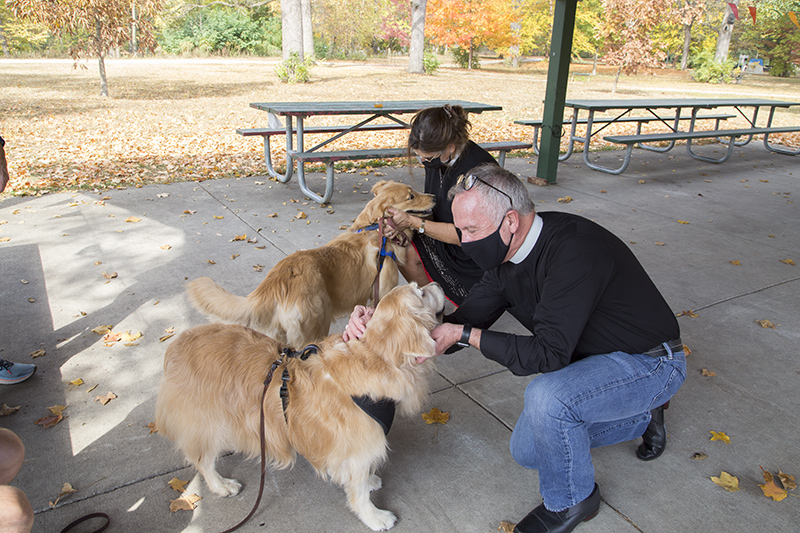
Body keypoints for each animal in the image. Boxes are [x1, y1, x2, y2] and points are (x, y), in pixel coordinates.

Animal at [155, 282, 444, 528]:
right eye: (421, 293)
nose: (438, 284)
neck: (377, 356)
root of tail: (176, 345)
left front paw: (371, 480)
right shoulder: (357, 448)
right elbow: (359, 492)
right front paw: (375, 517)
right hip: (206, 423)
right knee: (203, 461)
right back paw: (221, 485)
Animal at [185, 181, 434, 348]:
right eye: (411, 196)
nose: (434, 197)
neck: (375, 228)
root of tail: (276, 282)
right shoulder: (382, 291)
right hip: (314, 327)